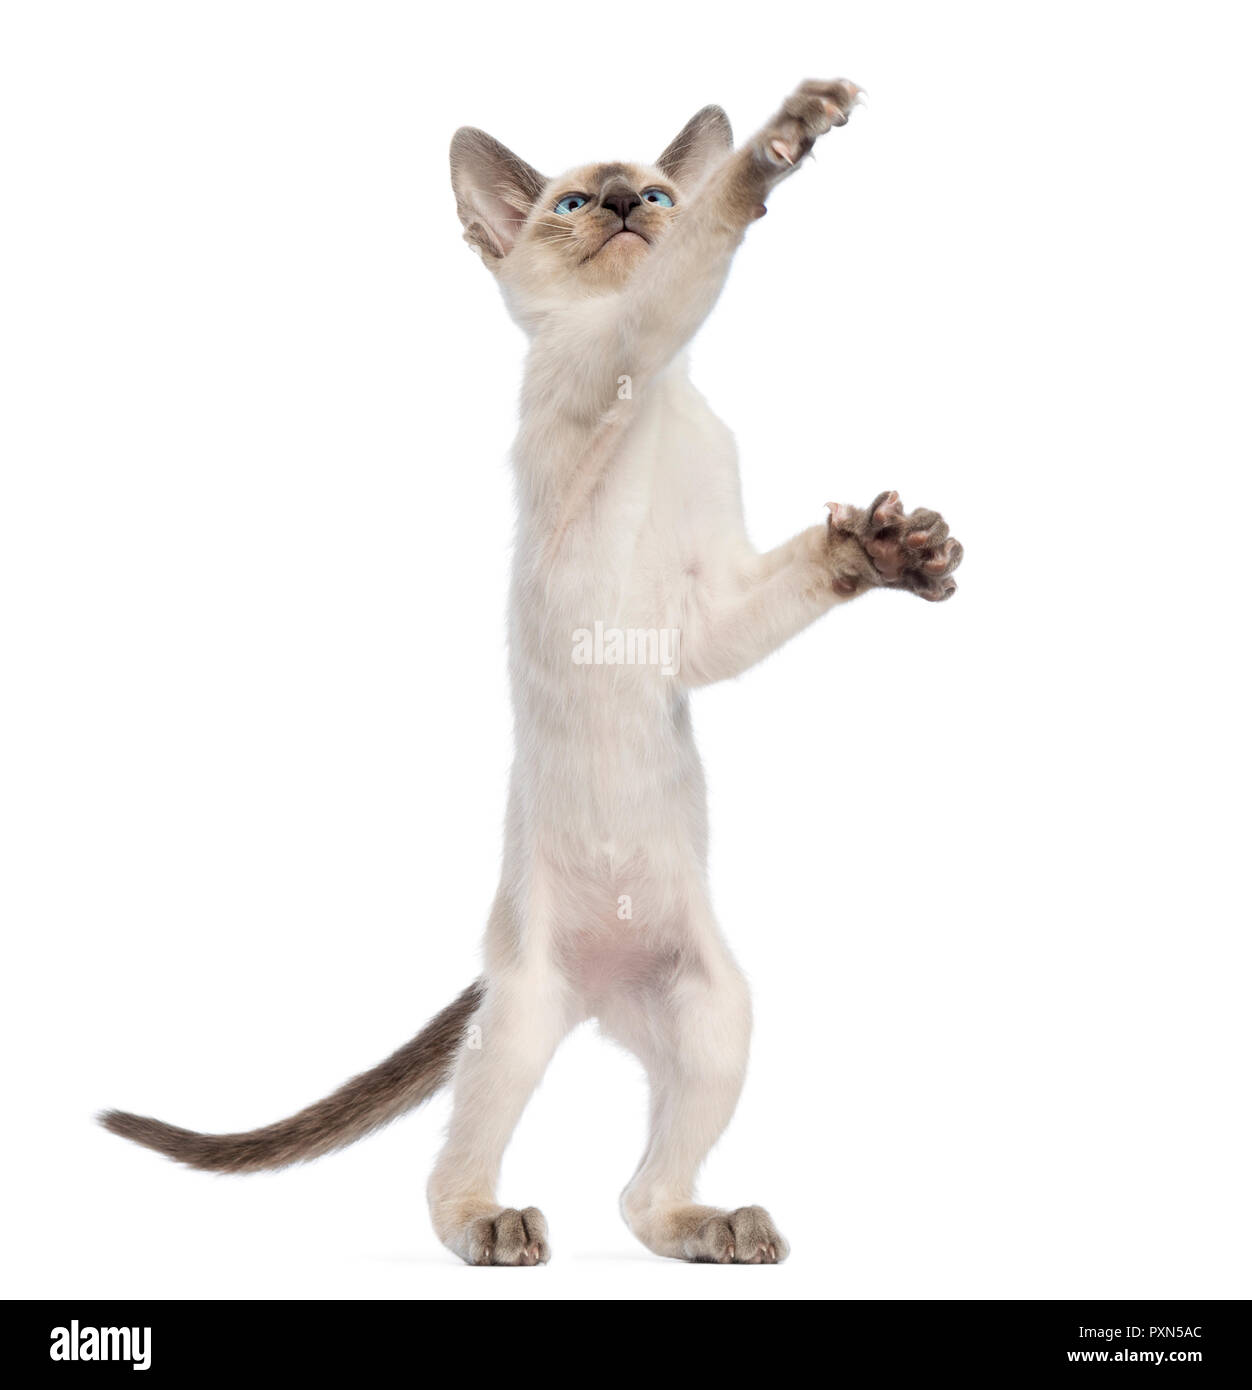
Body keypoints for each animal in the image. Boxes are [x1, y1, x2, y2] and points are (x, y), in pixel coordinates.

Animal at [104, 81, 967, 1267]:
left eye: (650, 193)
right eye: (572, 204)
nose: (623, 207)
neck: (665, 400)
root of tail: (599, 997)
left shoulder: (706, 623)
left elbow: (781, 578)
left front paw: (889, 552)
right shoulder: (616, 351)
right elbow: (684, 272)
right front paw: (781, 139)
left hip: (717, 1014)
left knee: (642, 1195)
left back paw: (716, 1226)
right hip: (515, 1023)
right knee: (455, 1171)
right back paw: (495, 1225)